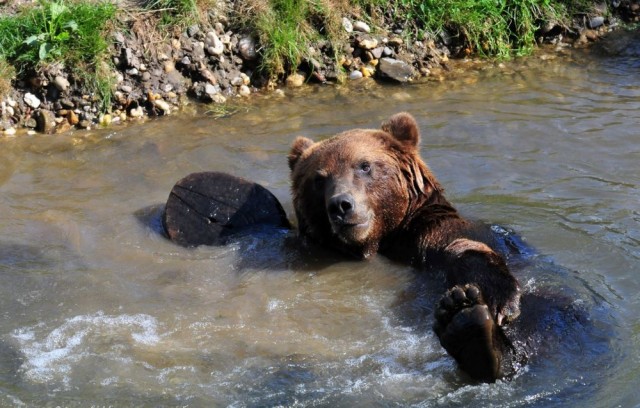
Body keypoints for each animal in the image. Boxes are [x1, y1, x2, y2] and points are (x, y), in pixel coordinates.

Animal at [288, 111, 524, 382]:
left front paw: (500, 301)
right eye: (318, 178)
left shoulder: (430, 233)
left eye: (364, 165)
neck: (380, 241)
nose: (340, 205)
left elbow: (467, 247)